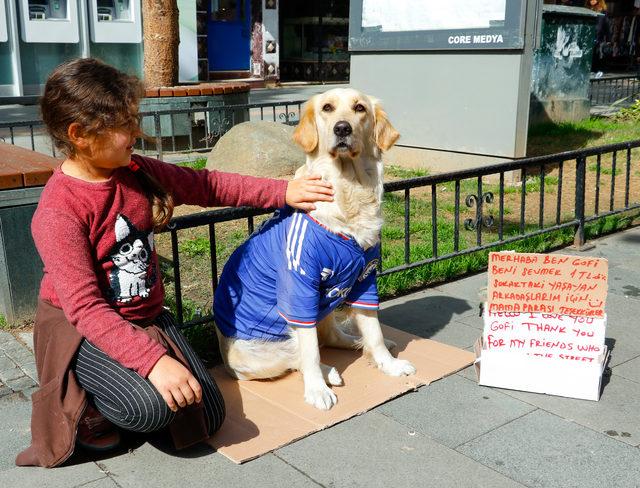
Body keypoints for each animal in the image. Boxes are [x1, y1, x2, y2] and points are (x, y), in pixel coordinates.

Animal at [212, 87, 418, 408]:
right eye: (327, 108)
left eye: (360, 108)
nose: (342, 128)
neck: (348, 189)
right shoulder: (298, 286)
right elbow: (309, 351)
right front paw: (317, 390)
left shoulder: (365, 277)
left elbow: (373, 331)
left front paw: (388, 364)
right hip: (258, 355)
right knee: (296, 355)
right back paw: (328, 372)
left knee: (331, 337)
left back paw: (355, 345)